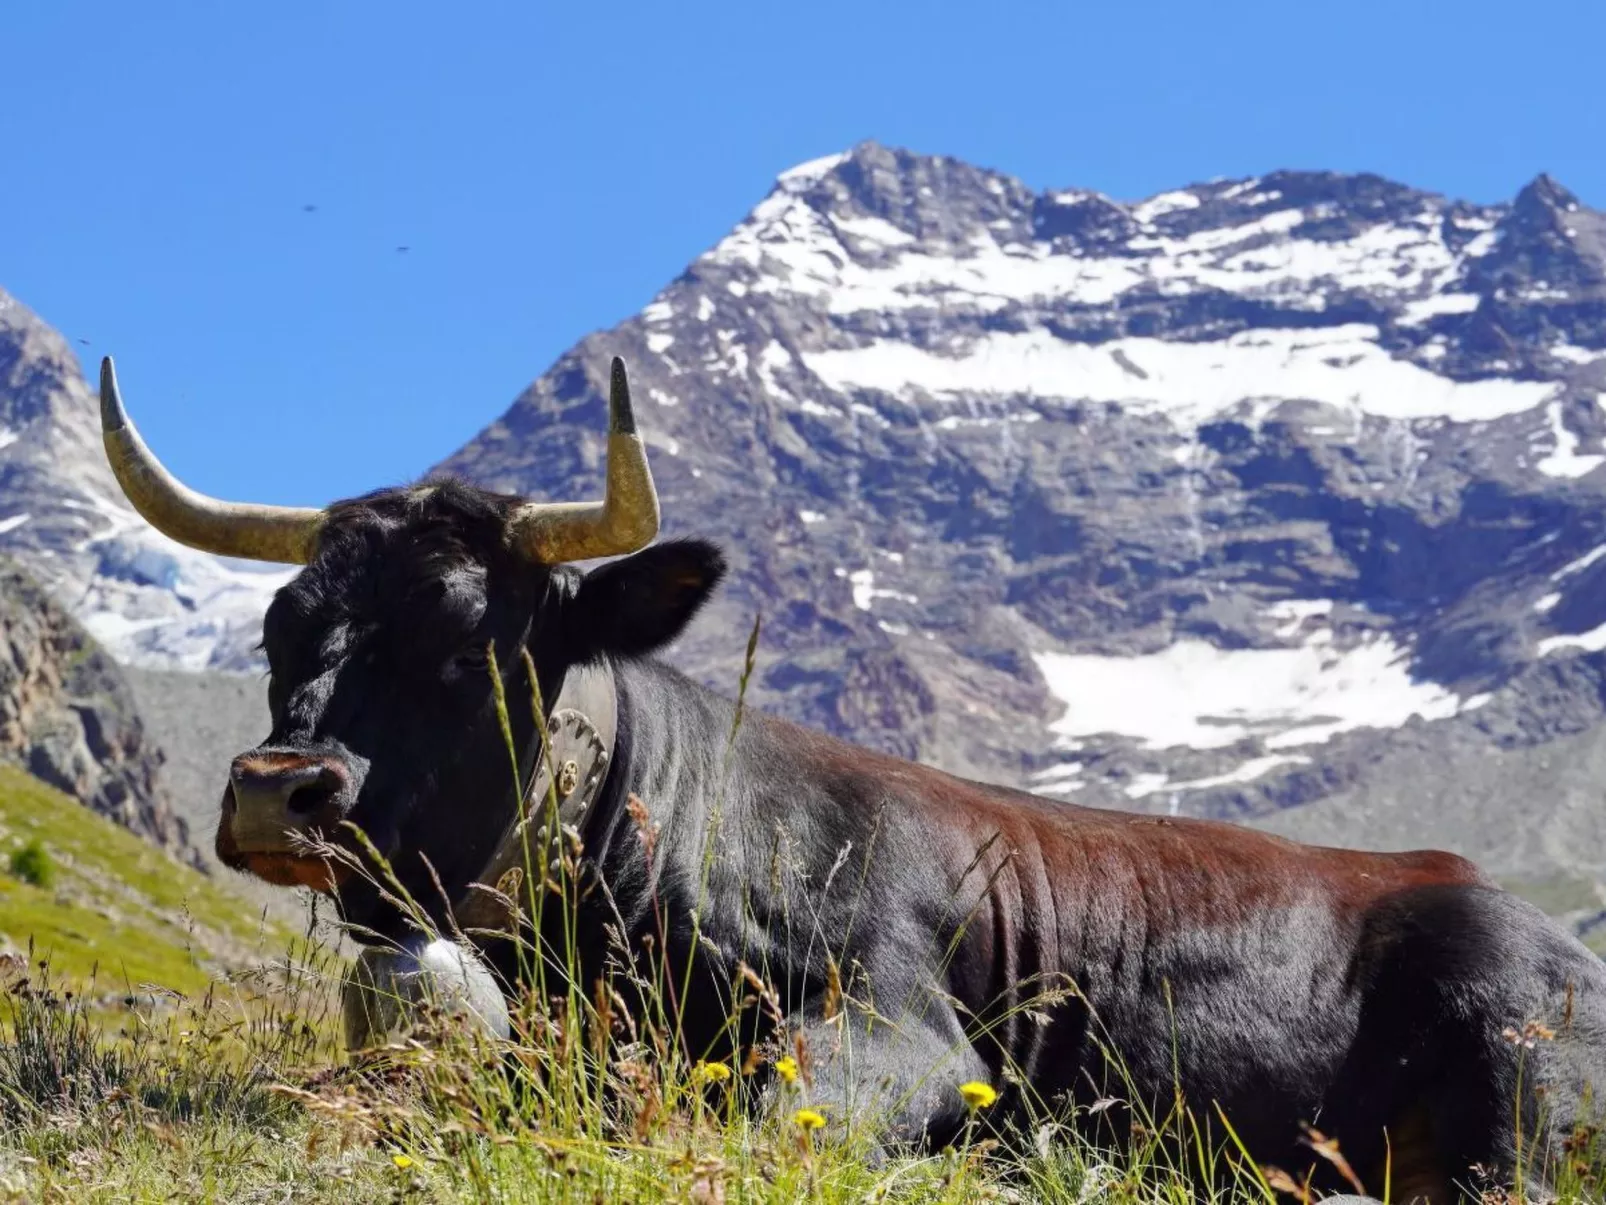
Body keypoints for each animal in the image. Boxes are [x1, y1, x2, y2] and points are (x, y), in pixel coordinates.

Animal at [97, 353, 1606, 1201]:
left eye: (472, 640)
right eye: (281, 627)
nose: (277, 788)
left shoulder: (901, 1028)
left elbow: (775, 1120)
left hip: (1524, 1076)